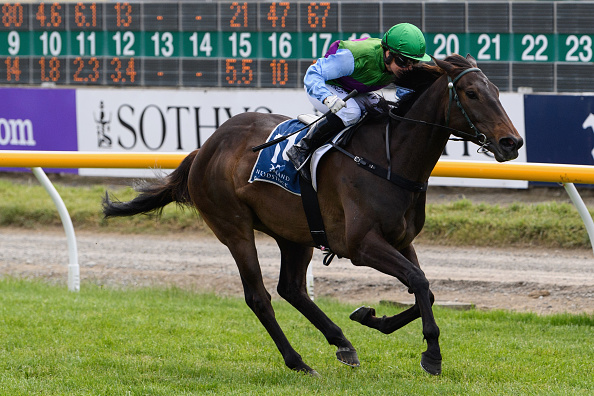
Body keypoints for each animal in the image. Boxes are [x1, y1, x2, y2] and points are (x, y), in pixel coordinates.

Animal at [104, 54, 520, 376]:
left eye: (497, 93)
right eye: (471, 93)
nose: (511, 142)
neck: (389, 159)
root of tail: (205, 147)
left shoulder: (400, 240)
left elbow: (425, 290)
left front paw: (370, 317)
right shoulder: (361, 245)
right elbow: (419, 282)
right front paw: (432, 355)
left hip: (295, 233)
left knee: (291, 288)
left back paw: (341, 342)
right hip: (234, 227)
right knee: (259, 296)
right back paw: (298, 361)